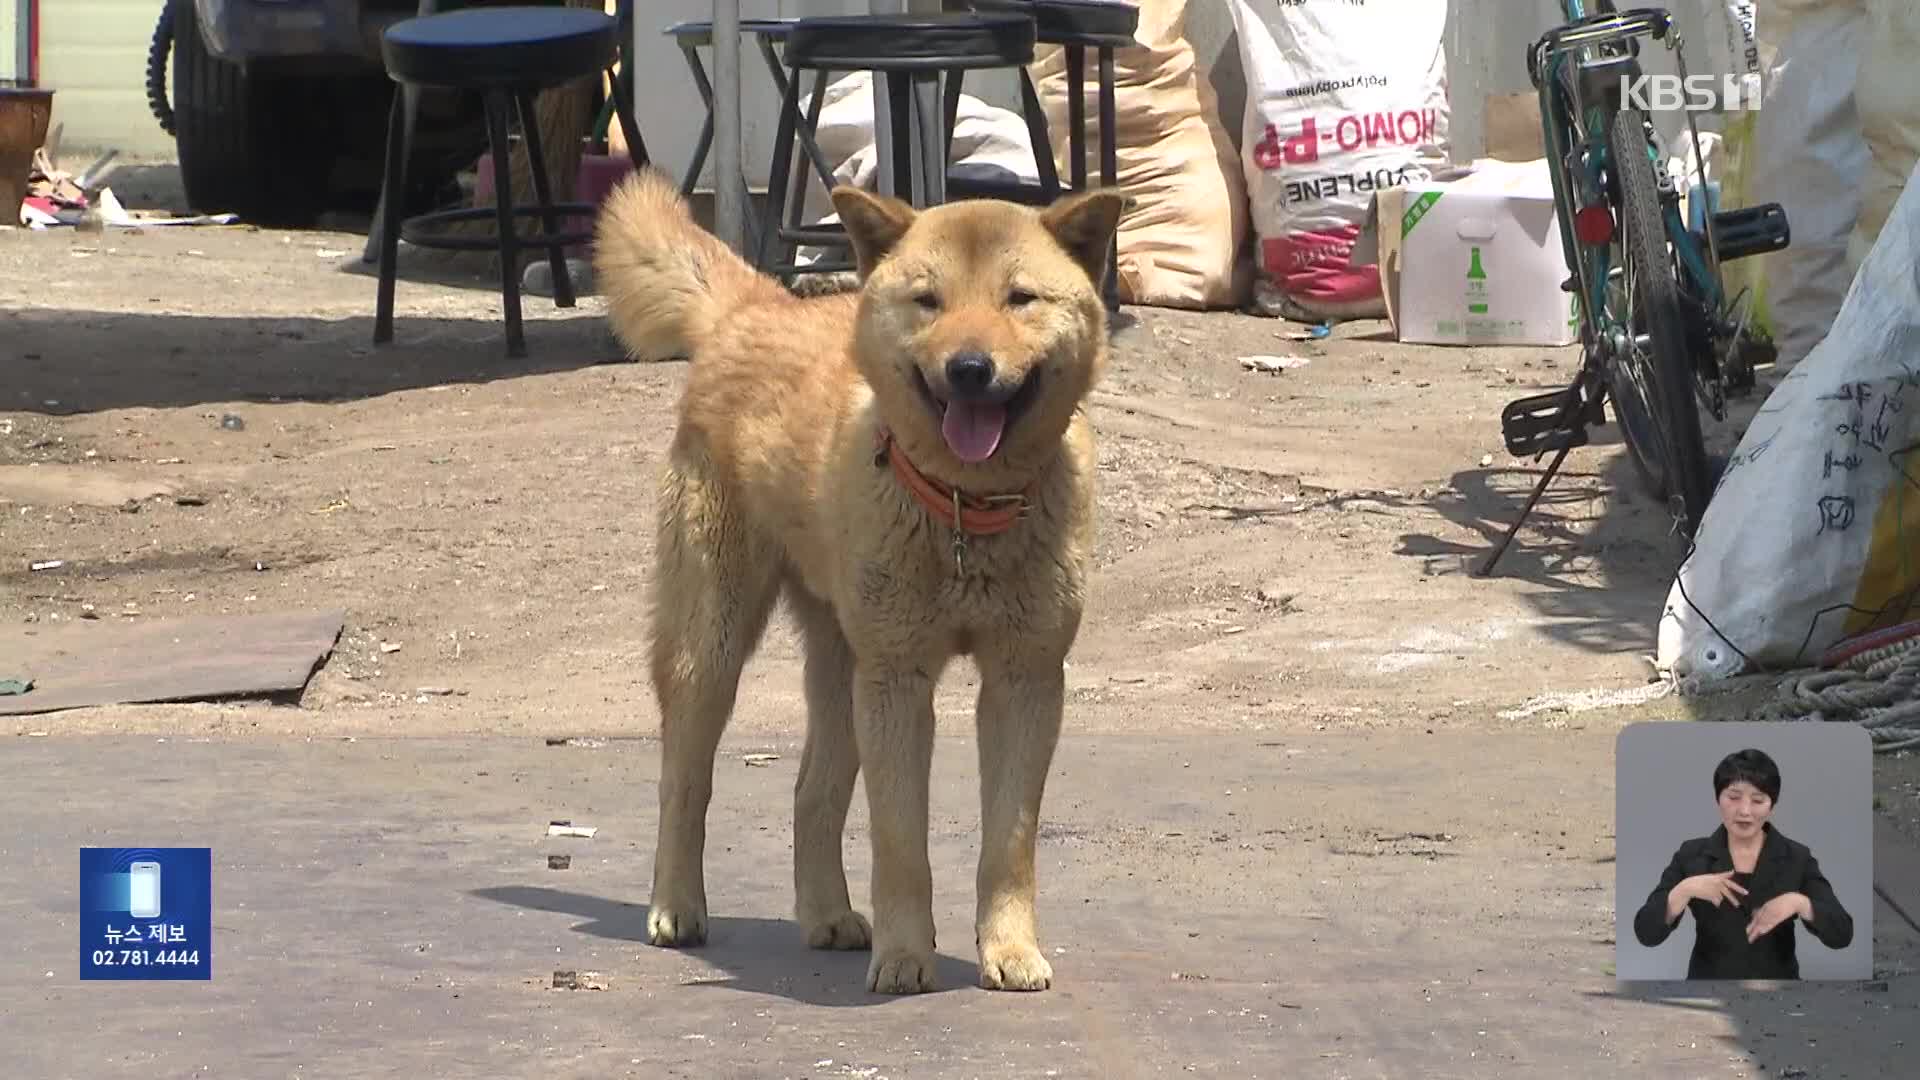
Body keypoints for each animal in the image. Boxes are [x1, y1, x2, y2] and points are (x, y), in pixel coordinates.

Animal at [591, 166, 1121, 991]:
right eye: (929, 300)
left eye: (1020, 299)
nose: (970, 368)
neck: (963, 511)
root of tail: (760, 307)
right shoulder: (898, 682)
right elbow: (900, 841)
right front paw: (904, 957)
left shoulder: (1025, 682)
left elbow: (1009, 843)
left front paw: (1008, 951)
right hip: (713, 646)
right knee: (685, 780)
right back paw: (676, 906)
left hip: (842, 668)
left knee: (812, 791)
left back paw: (826, 915)